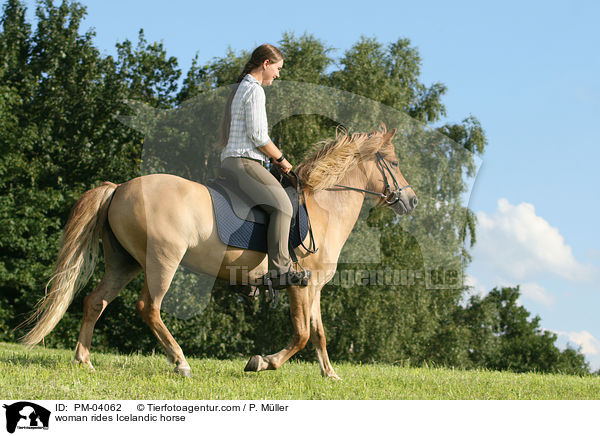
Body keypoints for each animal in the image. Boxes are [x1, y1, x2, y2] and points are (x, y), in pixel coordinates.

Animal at [22, 125, 418, 378]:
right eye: (395, 164)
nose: (411, 200)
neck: (323, 208)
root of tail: (119, 188)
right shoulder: (300, 286)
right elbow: (302, 334)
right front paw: (262, 362)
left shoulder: (315, 286)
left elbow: (318, 333)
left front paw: (330, 374)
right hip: (162, 261)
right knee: (148, 308)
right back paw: (180, 362)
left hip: (125, 263)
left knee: (95, 302)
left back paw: (84, 361)